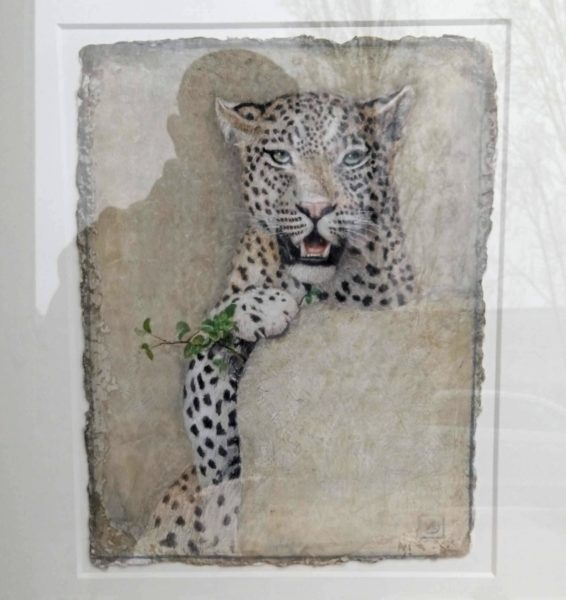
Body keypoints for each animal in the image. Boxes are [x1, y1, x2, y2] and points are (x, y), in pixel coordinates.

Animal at [135, 87, 417, 557]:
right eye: (281, 157)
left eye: (353, 157)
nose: (316, 208)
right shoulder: (219, 464)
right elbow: (205, 352)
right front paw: (263, 307)